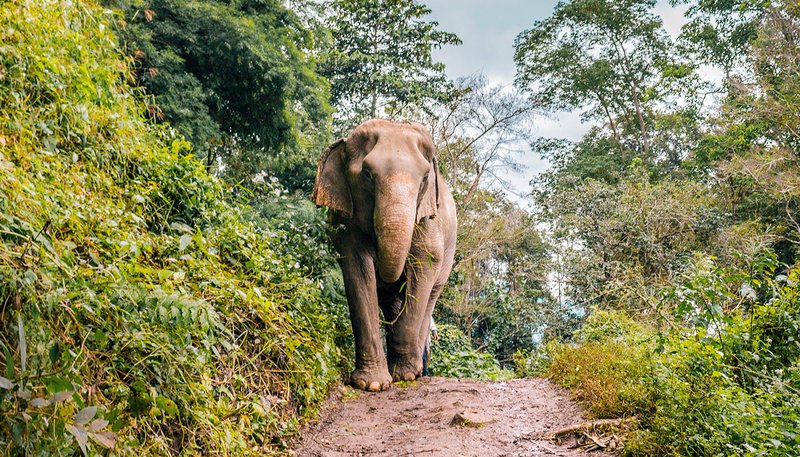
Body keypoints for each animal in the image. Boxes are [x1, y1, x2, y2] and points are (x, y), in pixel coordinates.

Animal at [312, 119, 457, 392]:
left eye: (424, 178)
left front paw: (406, 376)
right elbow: (358, 271)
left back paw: (416, 370)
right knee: (390, 302)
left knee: (429, 297)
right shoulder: (347, 225)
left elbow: (424, 266)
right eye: (367, 175)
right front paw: (372, 384)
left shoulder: (428, 221)